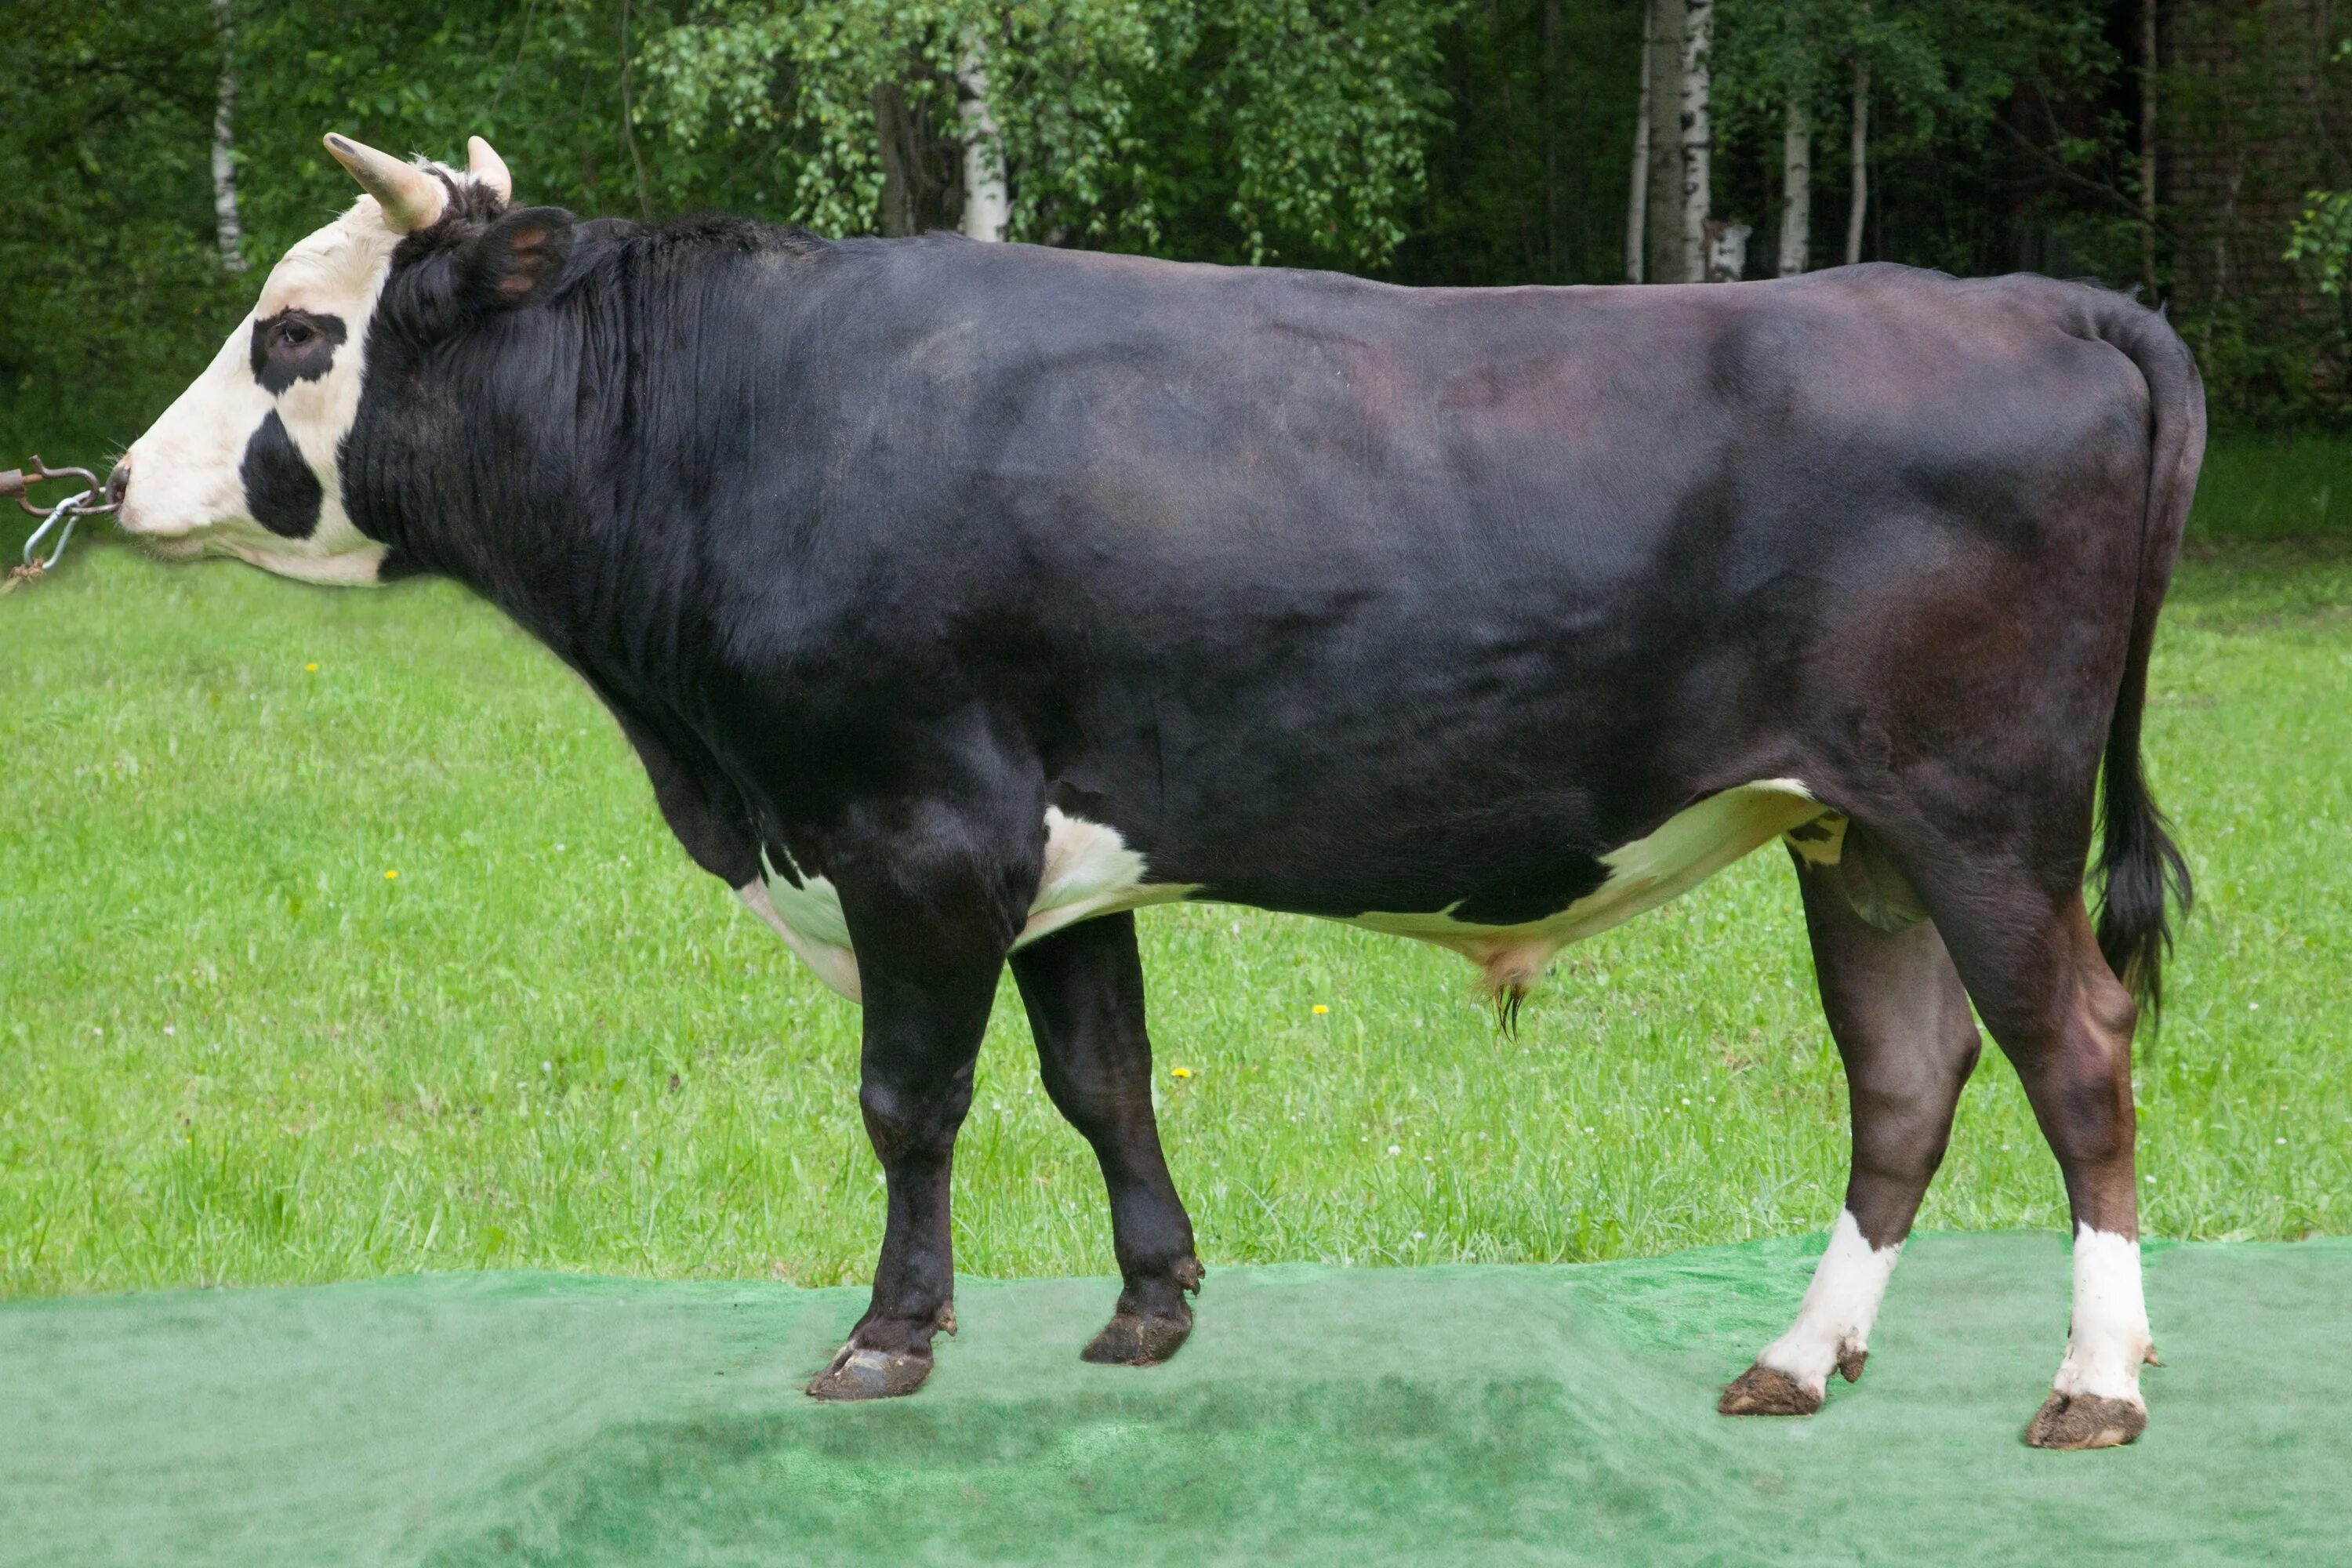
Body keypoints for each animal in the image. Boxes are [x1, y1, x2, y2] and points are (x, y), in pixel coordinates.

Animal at [341, 201, 2192, 1420]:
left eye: (305, 330)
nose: (185, 471)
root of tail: (2031, 299)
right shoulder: (1052, 861)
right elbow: (1101, 1079)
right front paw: (1147, 1310)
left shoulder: (916, 837)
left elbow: (909, 1103)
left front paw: (887, 1338)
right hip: (1858, 836)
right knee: (1908, 1075)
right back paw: (1800, 1357)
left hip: (1982, 822)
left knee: (2079, 1056)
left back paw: (2096, 1379)